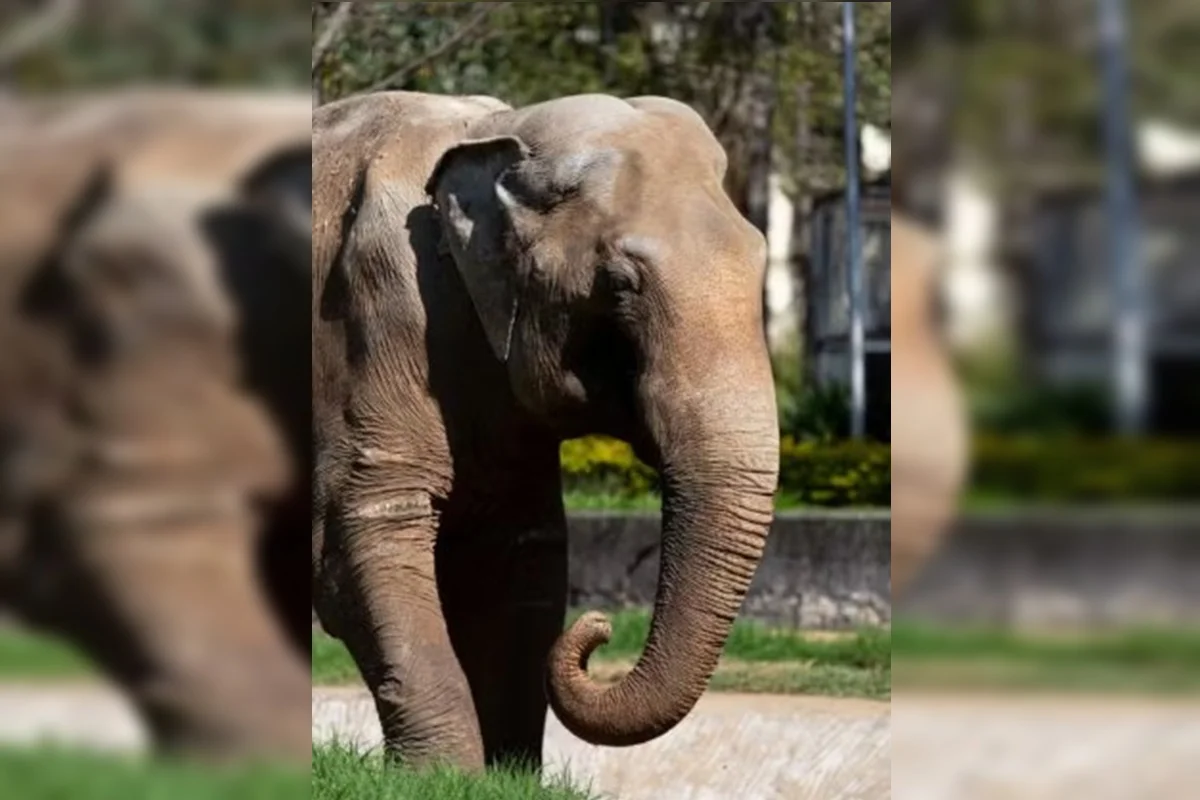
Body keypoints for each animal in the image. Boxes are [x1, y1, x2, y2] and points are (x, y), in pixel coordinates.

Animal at [312, 91, 780, 771]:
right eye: (619, 286)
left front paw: (505, 775)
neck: (494, 131)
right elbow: (364, 534)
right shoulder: (371, 318)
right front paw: (439, 774)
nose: (600, 628)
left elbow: (522, 551)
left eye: (761, 262)